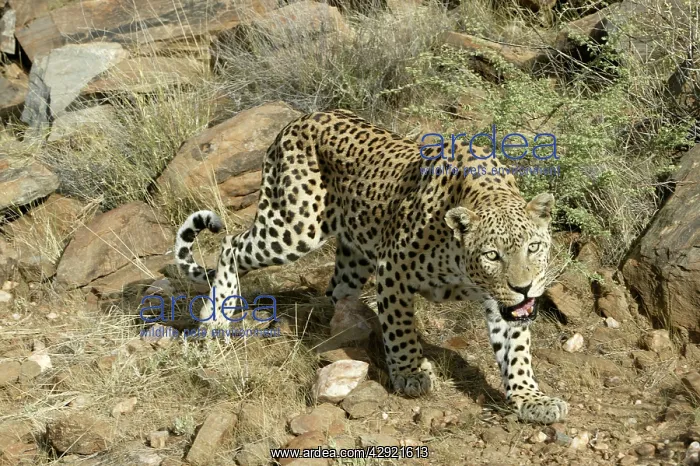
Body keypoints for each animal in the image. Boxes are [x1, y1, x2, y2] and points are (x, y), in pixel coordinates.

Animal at [174, 109, 568, 424]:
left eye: (534, 247)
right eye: (492, 255)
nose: (524, 288)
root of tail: (297, 120)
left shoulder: (501, 302)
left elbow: (516, 350)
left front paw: (531, 399)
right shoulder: (394, 267)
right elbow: (401, 329)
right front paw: (411, 373)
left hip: (353, 249)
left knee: (336, 290)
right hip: (294, 226)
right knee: (232, 245)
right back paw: (216, 321)